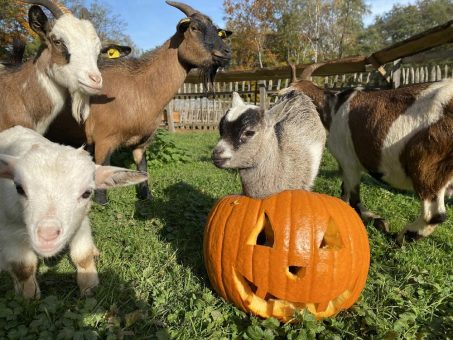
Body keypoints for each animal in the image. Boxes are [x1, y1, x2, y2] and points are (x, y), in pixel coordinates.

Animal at [0, 125, 148, 298]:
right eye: (19, 188)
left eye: (87, 193)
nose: (47, 236)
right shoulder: (9, 231)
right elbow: (23, 268)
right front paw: (29, 294)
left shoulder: (80, 222)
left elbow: (83, 256)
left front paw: (90, 287)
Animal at [44, 0, 231, 205]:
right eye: (194, 28)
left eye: (218, 31)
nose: (226, 52)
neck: (138, 89)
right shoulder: (102, 141)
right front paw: (101, 204)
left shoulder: (141, 143)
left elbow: (143, 170)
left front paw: (146, 197)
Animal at [284, 62, 450, 242]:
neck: (334, 107)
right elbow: (345, 190)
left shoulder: (349, 161)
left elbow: (353, 197)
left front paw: (375, 219)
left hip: (428, 167)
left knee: (434, 214)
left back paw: (400, 238)